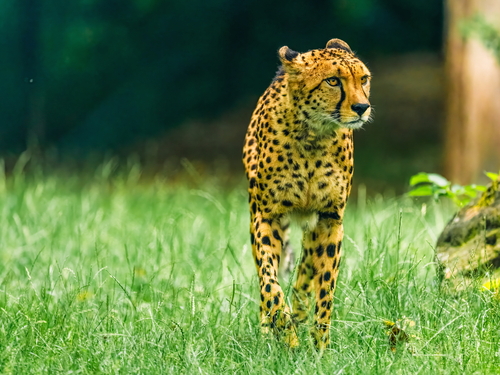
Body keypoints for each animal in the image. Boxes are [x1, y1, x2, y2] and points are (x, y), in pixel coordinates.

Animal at [242, 38, 372, 350]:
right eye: (333, 80)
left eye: (363, 79)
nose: (362, 107)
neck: (313, 134)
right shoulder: (267, 217)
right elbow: (269, 282)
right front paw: (284, 333)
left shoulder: (330, 220)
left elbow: (325, 288)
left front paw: (320, 346)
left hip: (313, 227)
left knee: (306, 268)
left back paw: (300, 311)